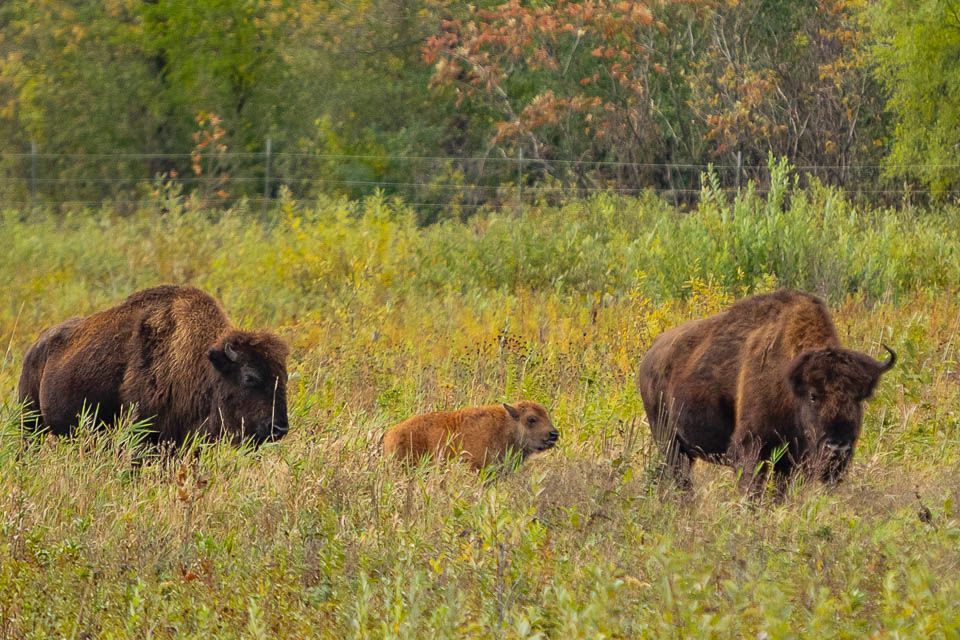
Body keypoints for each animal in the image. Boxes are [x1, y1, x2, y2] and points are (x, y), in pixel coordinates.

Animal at [638, 289, 895, 493]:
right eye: (813, 395)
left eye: (859, 398)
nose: (838, 449)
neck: (789, 384)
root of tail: (650, 356)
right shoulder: (752, 448)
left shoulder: (789, 460)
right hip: (669, 442)